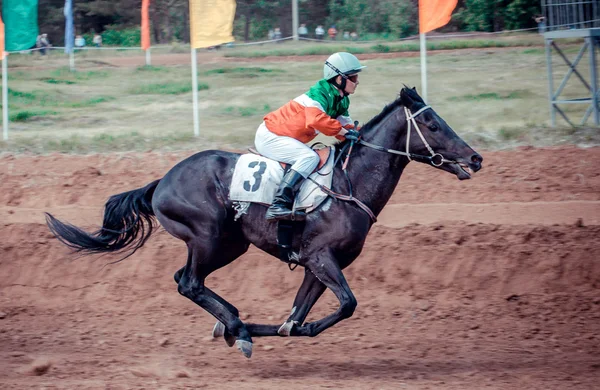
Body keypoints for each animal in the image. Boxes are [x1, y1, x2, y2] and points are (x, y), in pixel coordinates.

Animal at [44, 87, 482, 358]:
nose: (475, 158)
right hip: (209, 237)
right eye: (433, 124)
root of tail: (161, 182)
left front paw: (279, 328)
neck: (348, 184)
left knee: (185, 279)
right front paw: (246, 331)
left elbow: (299, 318)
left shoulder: (316, 264)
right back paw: (236, 328)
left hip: (229, 244)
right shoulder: (321, 258)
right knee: (189, 283)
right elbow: (347, 305)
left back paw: (231, 323)